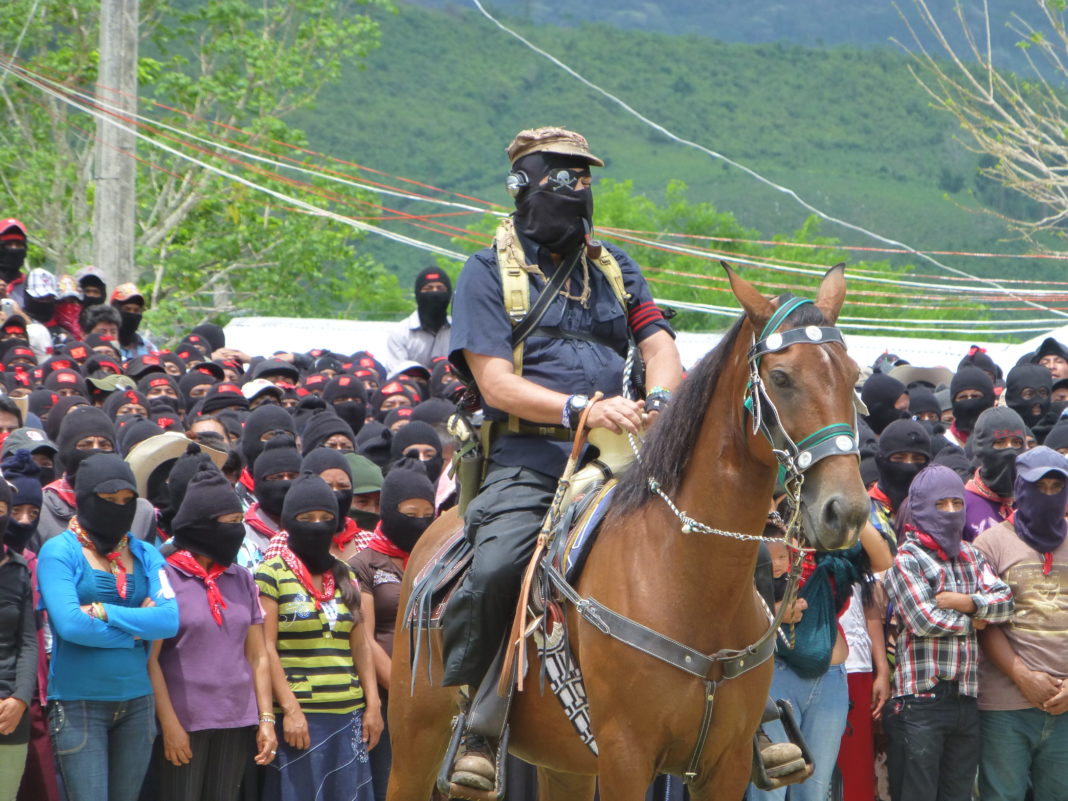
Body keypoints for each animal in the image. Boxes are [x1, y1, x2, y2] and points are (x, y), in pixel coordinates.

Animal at [388, 267, 871, 798]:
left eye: (853, 377)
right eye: (782, 379)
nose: (845, 510)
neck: (688, 579)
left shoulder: (725, 765)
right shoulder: (626, 756)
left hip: (565, 765)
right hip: (414, 741)